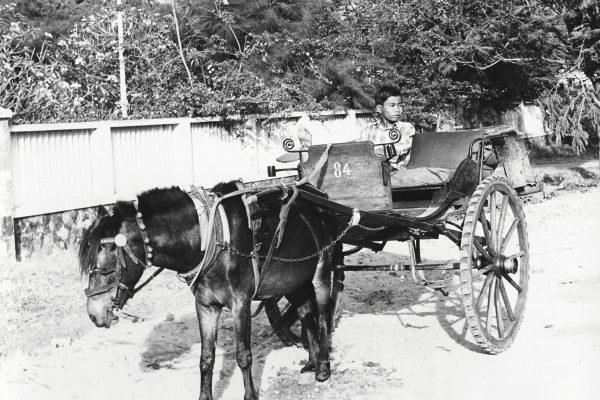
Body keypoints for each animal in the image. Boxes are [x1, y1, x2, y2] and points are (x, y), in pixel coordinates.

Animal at [78, 182, 338, 400]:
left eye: (106, 265)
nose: (94, 314)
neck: (210, 238)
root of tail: (317, 195)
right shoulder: (206, 306)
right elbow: (206, 358)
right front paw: (205, 396)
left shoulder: (240, 303)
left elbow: (243, 355)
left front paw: (250, 396)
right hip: (294, 280)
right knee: (306, 313)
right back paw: (312, 363)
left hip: (322, 269)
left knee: (323, 316)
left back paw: (324, 368)